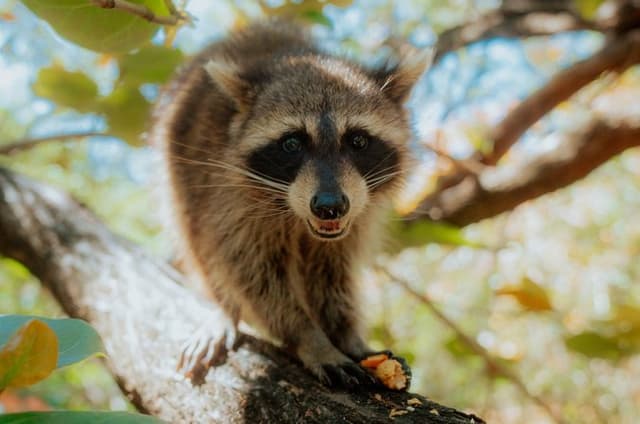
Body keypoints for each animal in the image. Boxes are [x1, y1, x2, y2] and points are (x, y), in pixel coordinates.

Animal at [151, 20, 427, 388]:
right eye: (292, 143)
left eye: (358, 140)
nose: (329, 206)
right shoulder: (229, 196)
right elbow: (251, 271)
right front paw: (309, 337)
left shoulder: (357, 215)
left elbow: (332, 273)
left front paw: (345, 333)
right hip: (177, 173)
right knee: (197, 241)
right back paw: (224, 309)